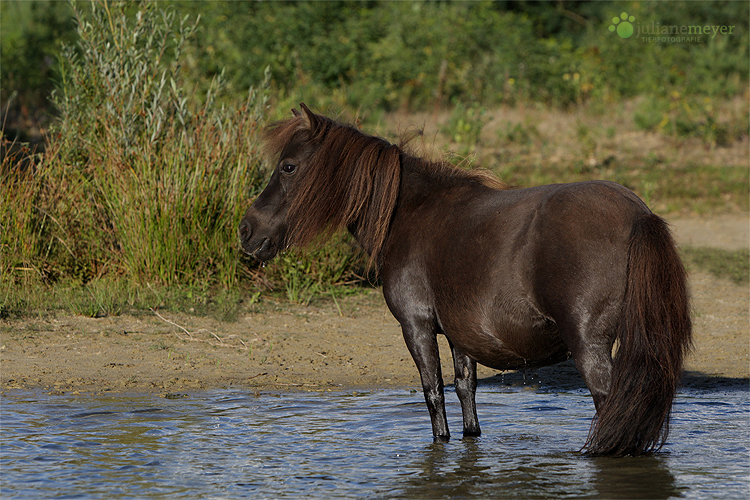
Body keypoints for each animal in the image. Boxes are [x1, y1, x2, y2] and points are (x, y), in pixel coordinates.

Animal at [241, 104, 692, 458]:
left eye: (288, 166)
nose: (247, 230)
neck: (410, 213)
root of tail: (638, 215)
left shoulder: (417, 327)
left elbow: (433, 394)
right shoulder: (462, 335)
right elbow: (465, 395)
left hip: (591, 349)